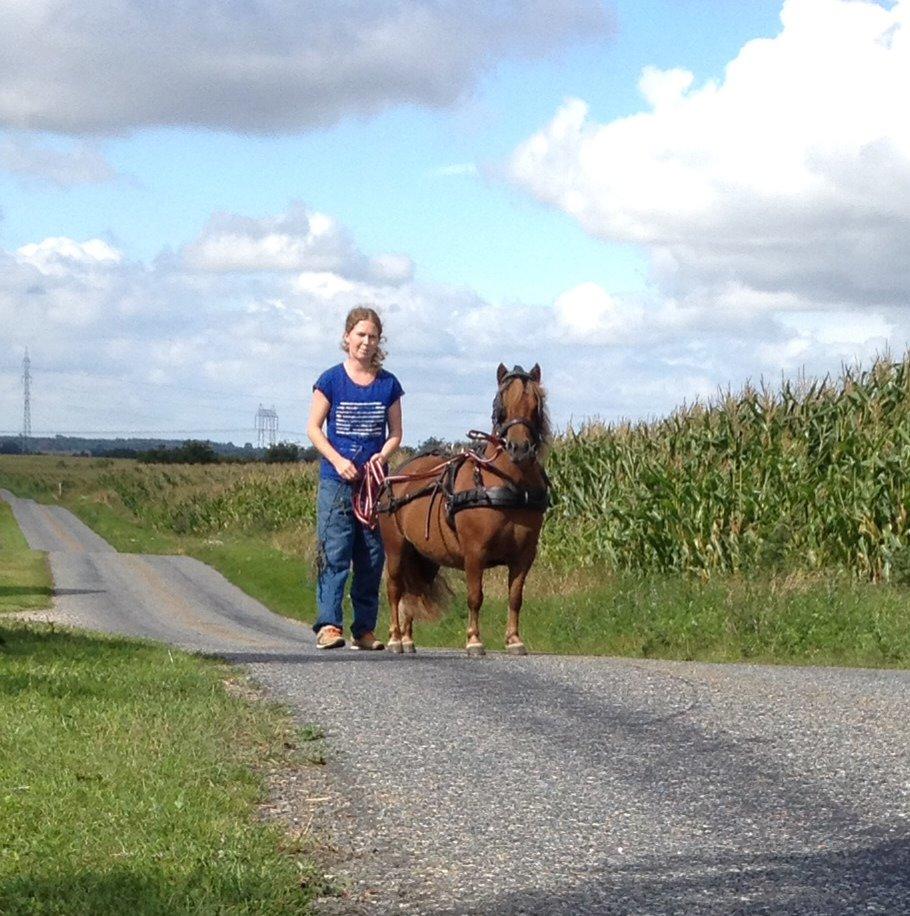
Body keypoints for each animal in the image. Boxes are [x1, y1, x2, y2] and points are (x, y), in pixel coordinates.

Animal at [376, 362, 548, 656]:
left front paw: (514, 640)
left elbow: (515, 597)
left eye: (535, 403)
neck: (507, 483)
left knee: (412, 591)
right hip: (396, 546)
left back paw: (408, 639)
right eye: (500, 403)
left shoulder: (524, 555)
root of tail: (397, 475)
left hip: (423, 555)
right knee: (395, 589)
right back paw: (396, 639)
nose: (520, 449)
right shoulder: (474, 551)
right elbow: (475, 596)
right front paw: (474, 640)